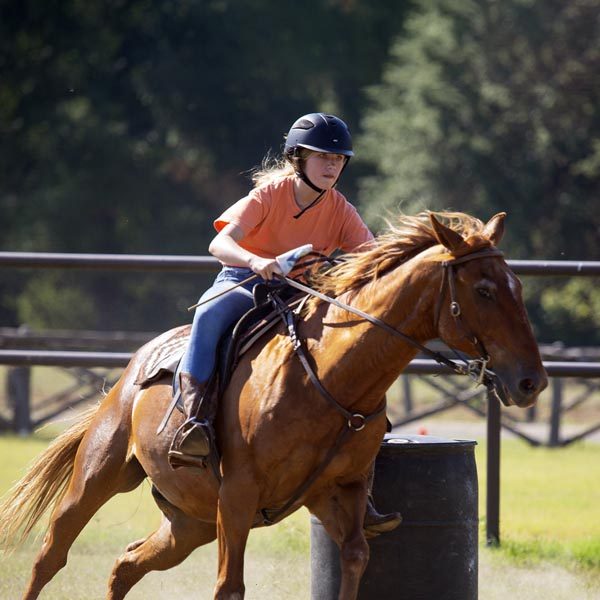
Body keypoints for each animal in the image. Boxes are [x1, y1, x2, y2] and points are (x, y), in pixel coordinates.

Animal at [0, 211, 548, 596]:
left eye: (517, 286)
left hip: (189, 523)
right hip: (101, 475)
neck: (330, 375)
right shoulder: (238, 496)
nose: (531, 382)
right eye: (484, 290)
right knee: (51, 555)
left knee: (125, 565)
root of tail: (133, 370)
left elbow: (354, 560)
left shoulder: (342, 492)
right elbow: (229, 586)